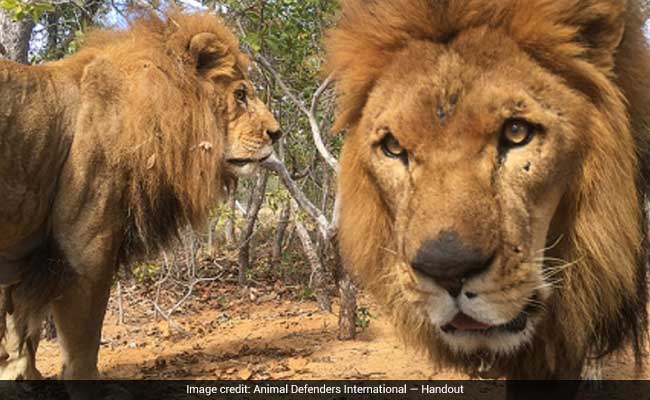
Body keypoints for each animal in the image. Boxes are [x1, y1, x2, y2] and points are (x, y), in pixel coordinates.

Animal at [0, 9, 278, 390]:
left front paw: (22, 379)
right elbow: (82, 341)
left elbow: (19, 332)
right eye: (240, 94)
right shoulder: (84, 249)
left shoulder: (24, 255)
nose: (277, 133)